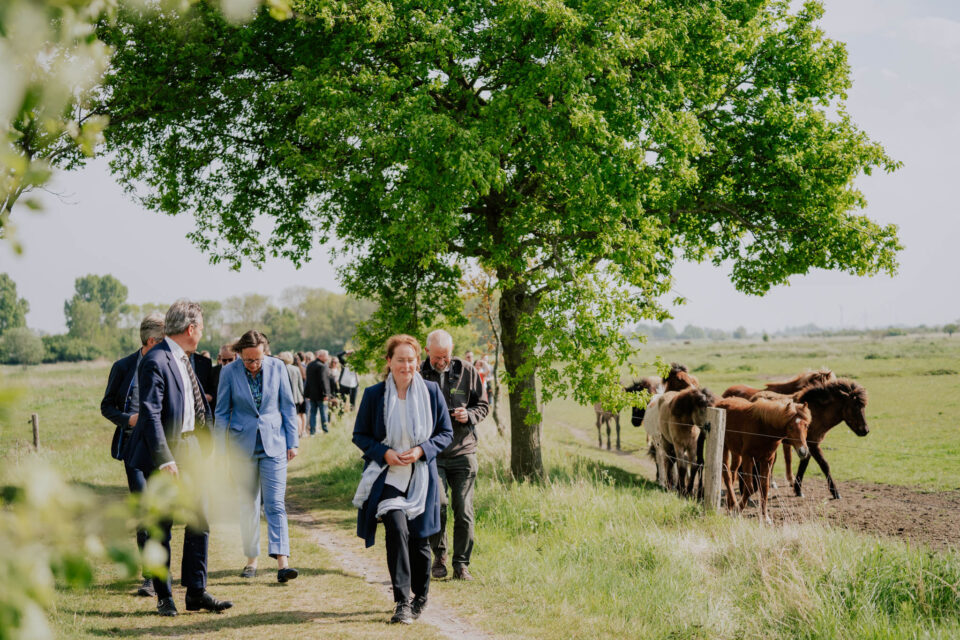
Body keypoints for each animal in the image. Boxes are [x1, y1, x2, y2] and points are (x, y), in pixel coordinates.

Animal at [712, 396, 808, 524]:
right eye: (791, 427)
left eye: (806, 425)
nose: (803, 451)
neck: (763, 428)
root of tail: (720, 402)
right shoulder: (748, 458)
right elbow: (749, 487)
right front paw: (738, 510)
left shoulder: (767, 460)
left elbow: (764, 487)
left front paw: (765, 517)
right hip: (724, 448)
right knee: (727, 476)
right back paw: (734, 505)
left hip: (736, 453)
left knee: (732, 474)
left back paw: (730, 506)